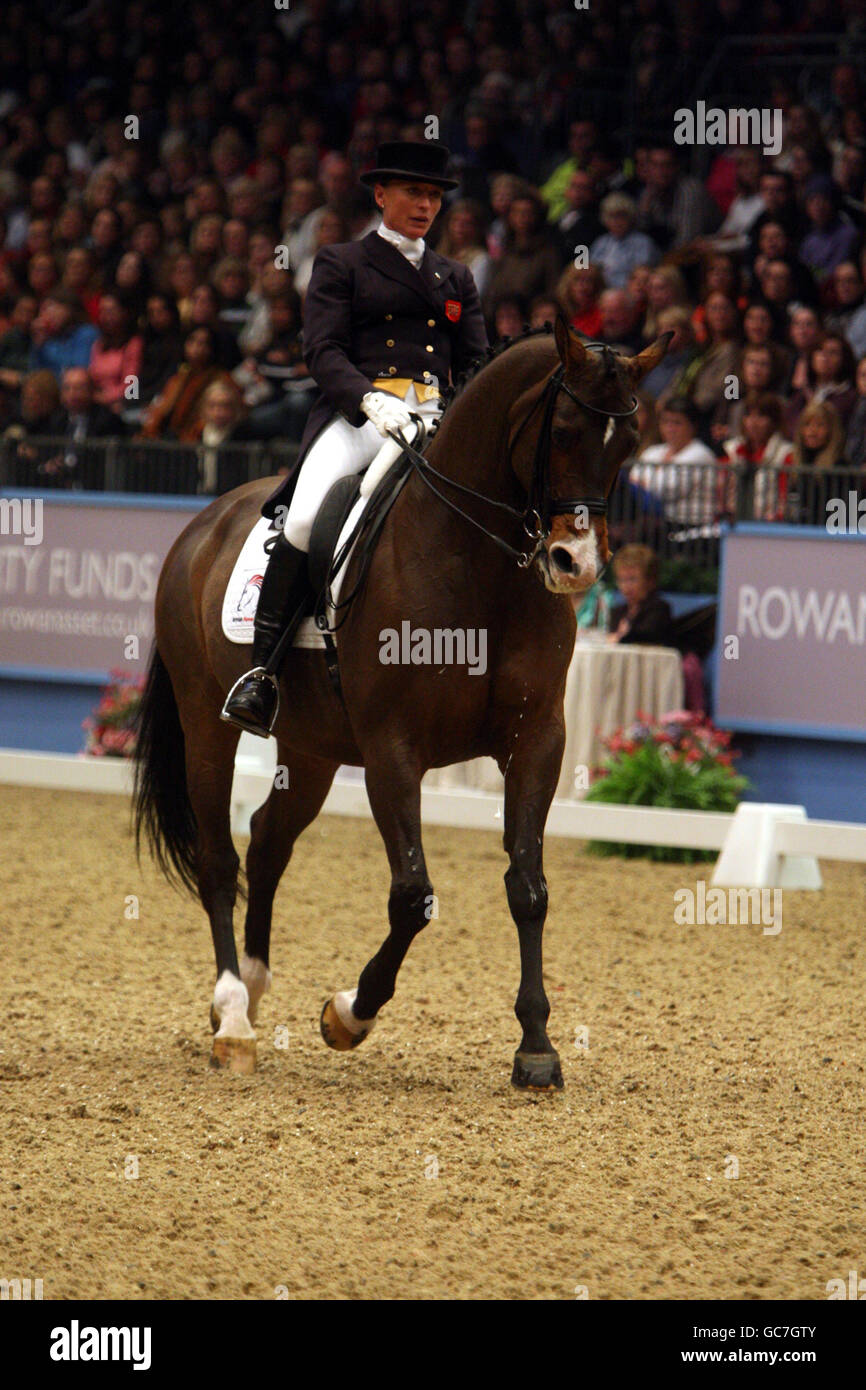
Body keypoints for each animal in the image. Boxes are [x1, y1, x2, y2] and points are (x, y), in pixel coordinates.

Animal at [134, 319, 670, 1089]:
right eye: (565, 432)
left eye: (628, 444)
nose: (578, 567)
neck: (479, 564)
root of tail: (204, 521)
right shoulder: (394, 750)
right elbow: (413, 896)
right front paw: (348, 1014)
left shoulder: (537, 741)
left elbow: (528, 885)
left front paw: (536, 1046)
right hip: (208, 720)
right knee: (218, 859)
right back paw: (233, 1017)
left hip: (311, 746)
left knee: (267, 839)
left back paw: (254, 991)